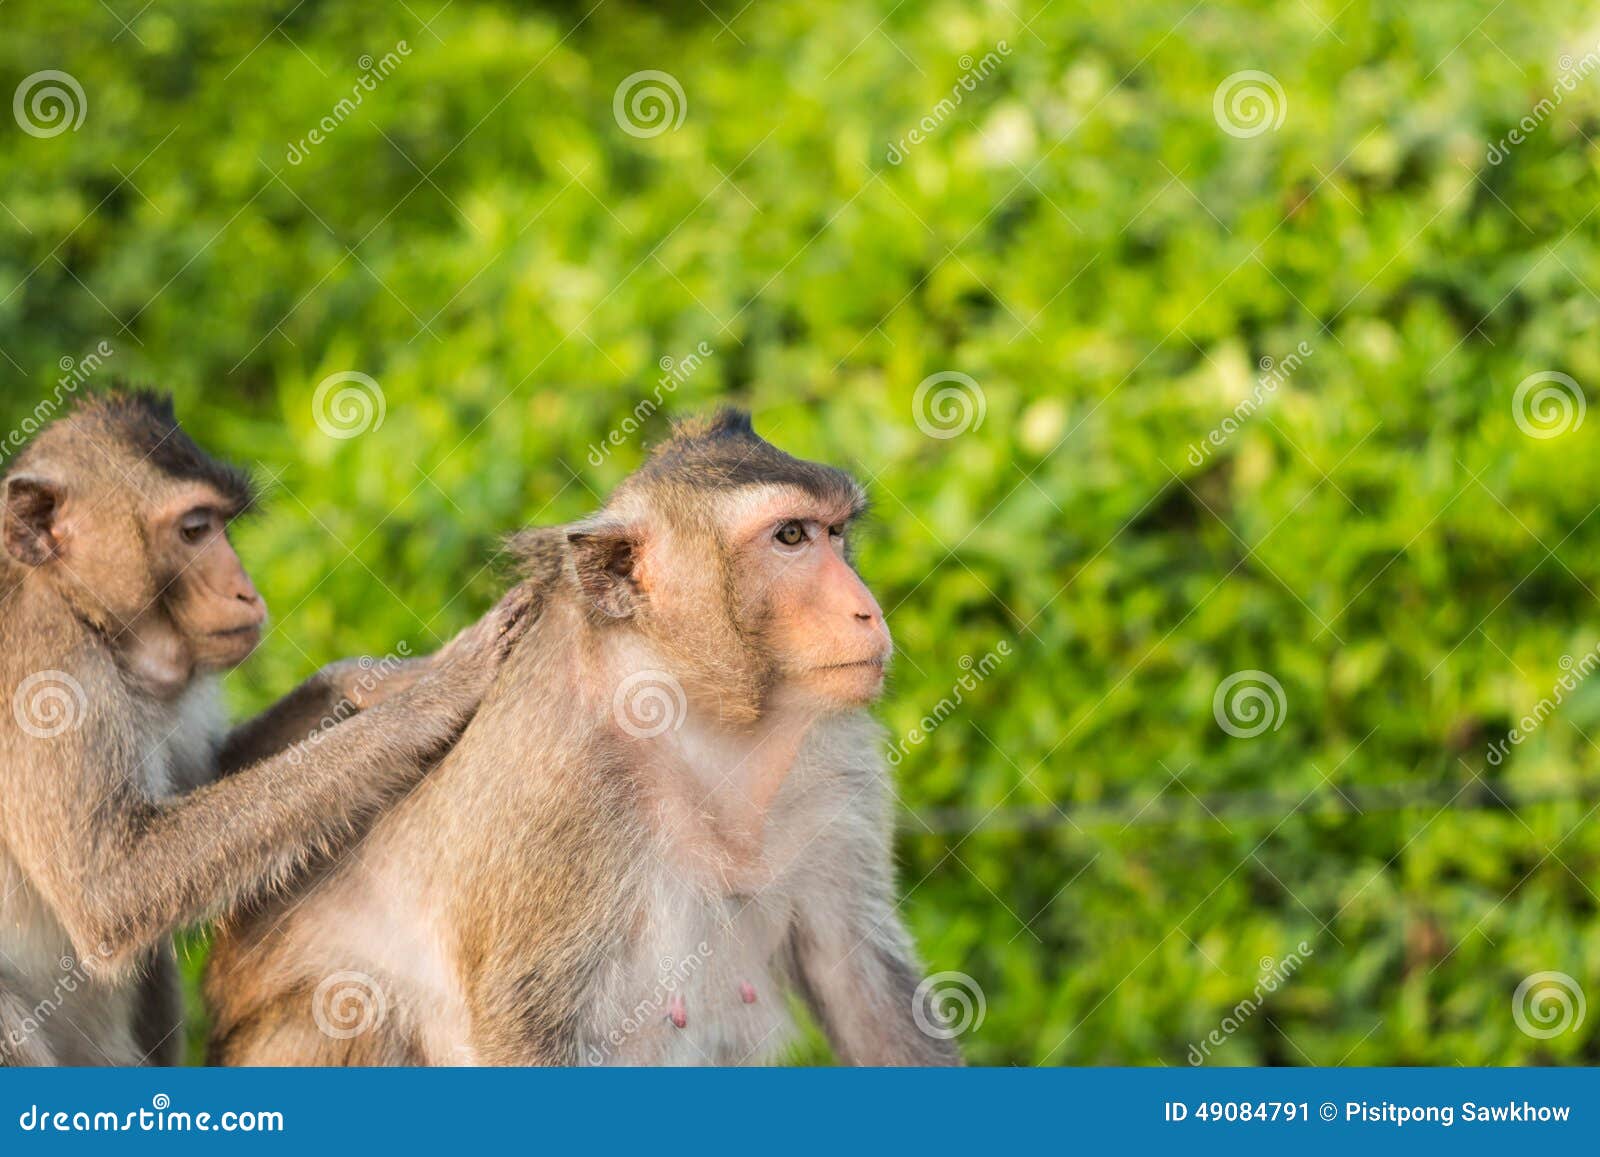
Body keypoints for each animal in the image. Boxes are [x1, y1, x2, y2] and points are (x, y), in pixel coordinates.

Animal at [0, 391, 530, 1066]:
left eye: (222, 527)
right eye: (194, 530)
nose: (246, 593)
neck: (84, 613)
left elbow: (209, 776)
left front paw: (380, 680)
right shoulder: (45, 664)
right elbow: (112, 887)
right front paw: (430, 700)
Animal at [206, 409, 963, 1066]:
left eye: (837, 533)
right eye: (791, 537)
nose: (867, 609)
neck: (685, 715)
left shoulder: (833, 759)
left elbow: (860, 980)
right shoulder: (556, 791)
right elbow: (524, 1019)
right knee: (353, 1010)